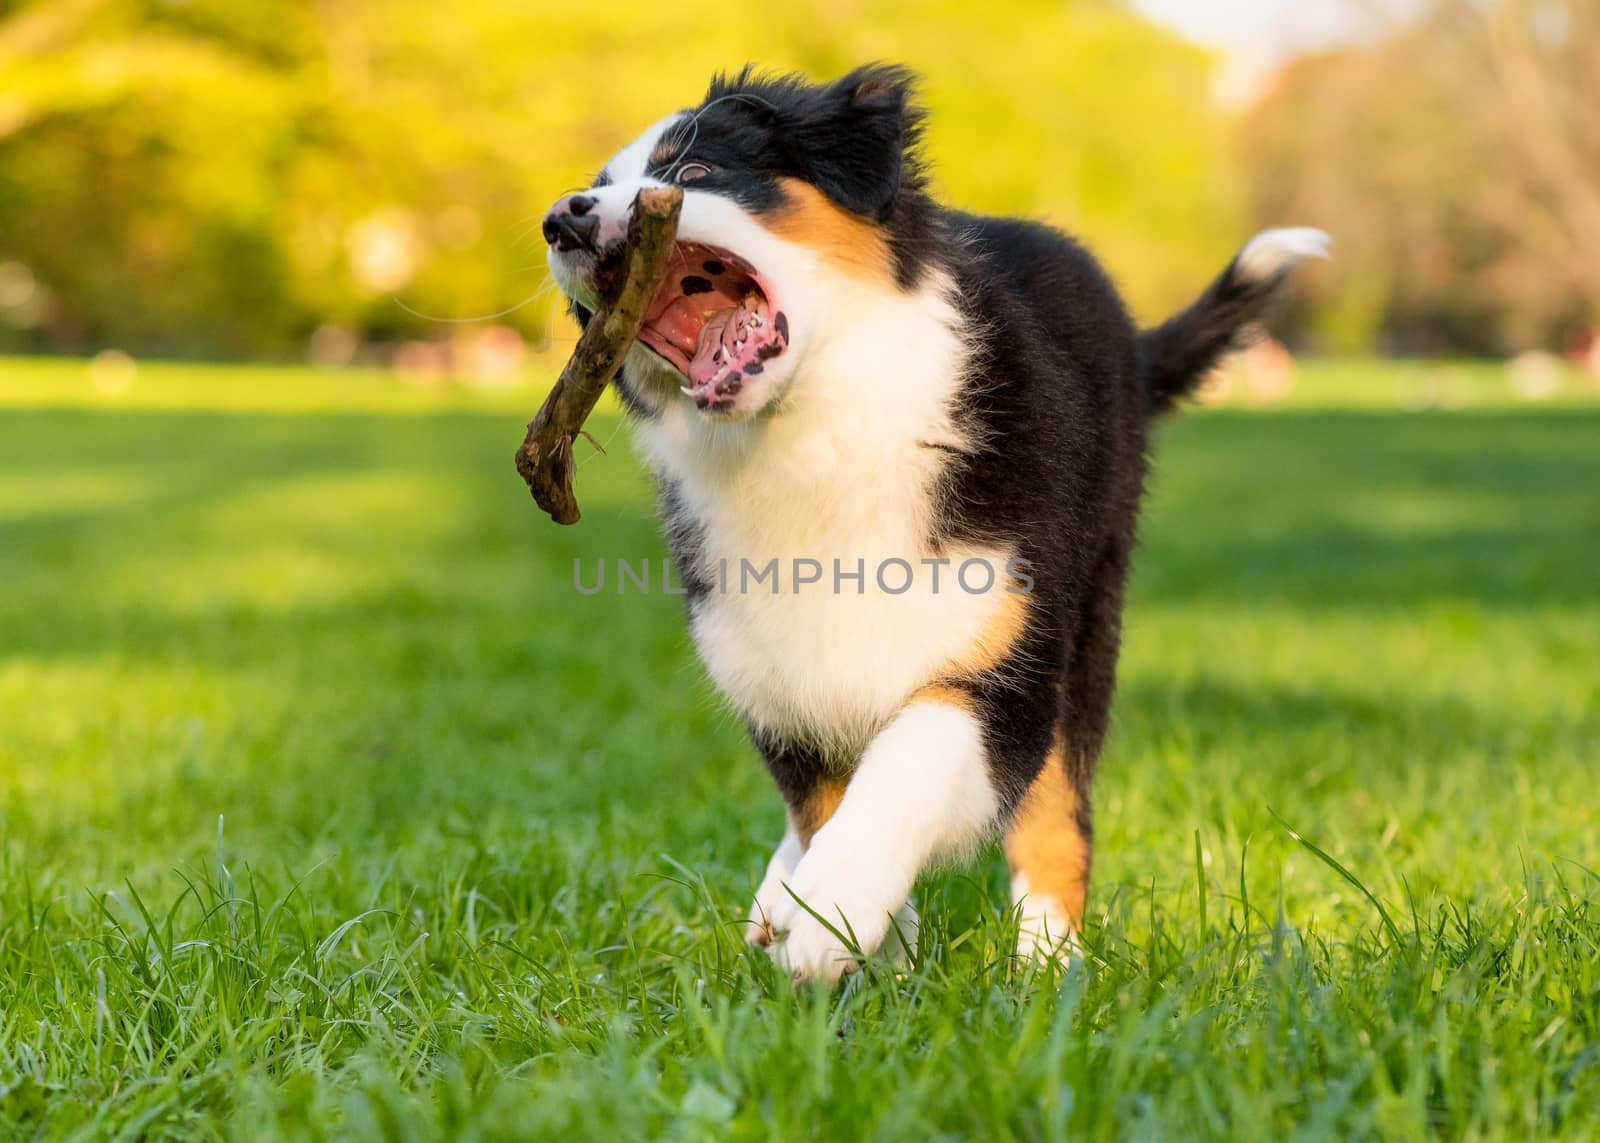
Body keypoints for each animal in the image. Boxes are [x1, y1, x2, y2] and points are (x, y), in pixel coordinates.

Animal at [547, 66, 1324, 986]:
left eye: (694, 171)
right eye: (594, 187)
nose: (563, 218)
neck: (815, 434)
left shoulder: (1006, 660)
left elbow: (910, 759)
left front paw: (836, 910)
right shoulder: (774, 672)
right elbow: (820, 801)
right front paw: (872, 943)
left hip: (1088, 616)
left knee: (1058, 805)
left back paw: (1047, 963)